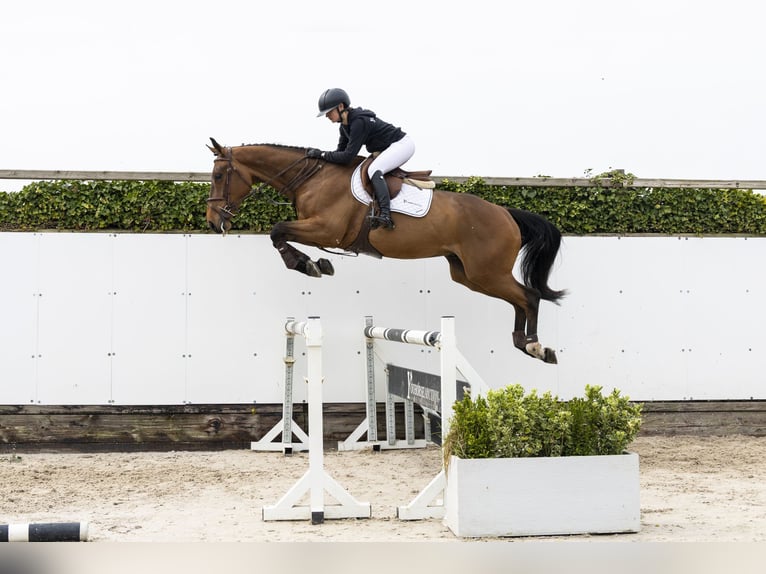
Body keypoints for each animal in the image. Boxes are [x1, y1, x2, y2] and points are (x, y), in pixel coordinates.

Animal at [206, 138, 566, 363]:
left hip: (486, 272)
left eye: (219, 175)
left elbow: (277, 229)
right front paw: (315, 263)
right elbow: (279, 233)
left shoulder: (327, 229)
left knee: (529, 295)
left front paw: (309, 264)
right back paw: (525, 344)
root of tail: (506, 213)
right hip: (470, 275)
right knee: (519, 299)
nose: (211, 221)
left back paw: (536, 346)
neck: (312, 178)